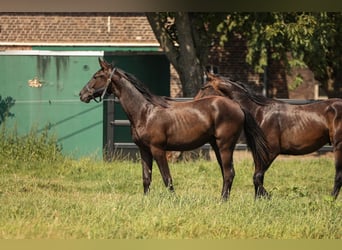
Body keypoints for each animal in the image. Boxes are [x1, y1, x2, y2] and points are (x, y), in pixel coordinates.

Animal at [80, 57, 270, 200]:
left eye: (96, 76)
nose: (82, 94)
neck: (145, 112)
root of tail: (237, 106)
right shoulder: (144, 150)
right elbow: (146, 178)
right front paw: (145, 200)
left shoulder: (158, 150)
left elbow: (167, 178)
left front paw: (173, 200)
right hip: (216, 146)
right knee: (226, 173)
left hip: (225, 146)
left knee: (229, 173)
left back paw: (222, 201)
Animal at [195, 72, 342, 199]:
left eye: (204, 87)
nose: (194, 103)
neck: (260, 113)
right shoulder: (258, 153)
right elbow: (258, 177)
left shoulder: (271, 152)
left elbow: (257, 177)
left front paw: (267, 197)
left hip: (338, 146)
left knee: (338, 175)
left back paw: (331, 199)